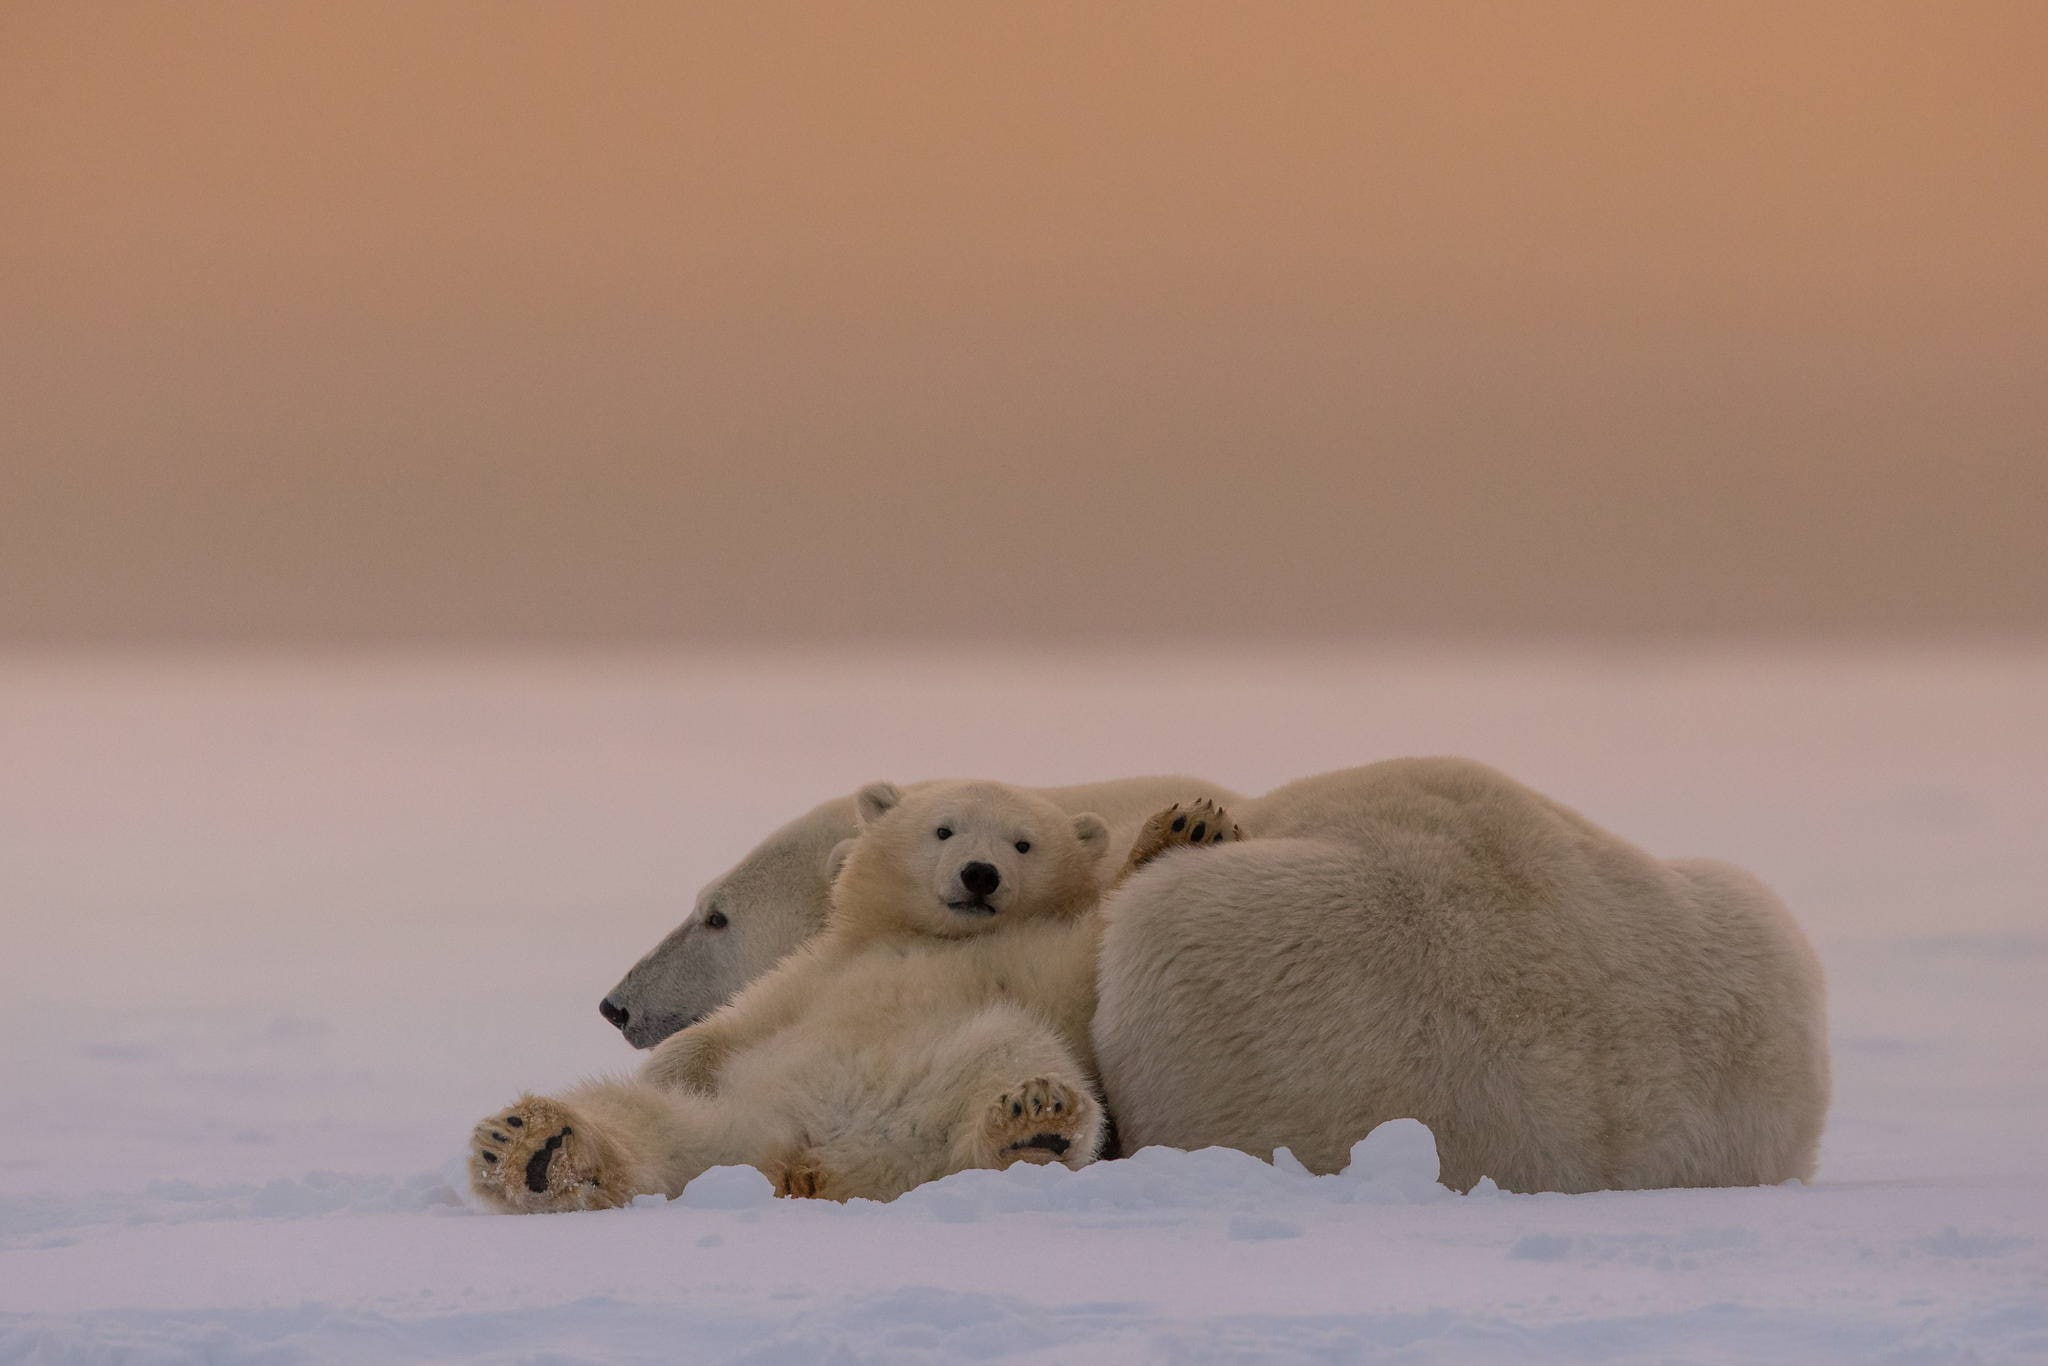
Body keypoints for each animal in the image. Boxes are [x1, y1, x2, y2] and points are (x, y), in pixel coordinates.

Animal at [469, 780, 1241, 1212]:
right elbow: (736, 1025)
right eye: (944, 828)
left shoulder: (1033, 959)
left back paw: (1034, 1123)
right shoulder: (821, 966)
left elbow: (1091, 952)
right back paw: (531, 1146)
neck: (927, 937)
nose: (980, 873)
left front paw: (1188, 828)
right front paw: (1184, 825)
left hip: (957, 1078)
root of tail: (809, 1163)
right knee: (639, 1119)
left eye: (1023, 844)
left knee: (1013, 1059)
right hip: (737, 1119)